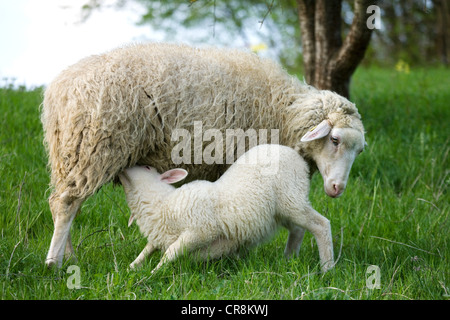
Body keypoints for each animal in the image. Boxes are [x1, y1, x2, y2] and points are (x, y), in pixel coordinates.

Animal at [119, 144, 334, 272]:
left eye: (146, 168)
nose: (123, 167)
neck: (162, 202)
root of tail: (294, 153)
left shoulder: (201, 230)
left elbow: (171, 251)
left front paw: (154, 272)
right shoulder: (160, 236)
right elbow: (148, 249)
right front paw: (131, 267)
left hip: (291, 199)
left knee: (320, 225)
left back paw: (327, 268)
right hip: (280, 212)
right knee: (298, 229)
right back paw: (289, 259)